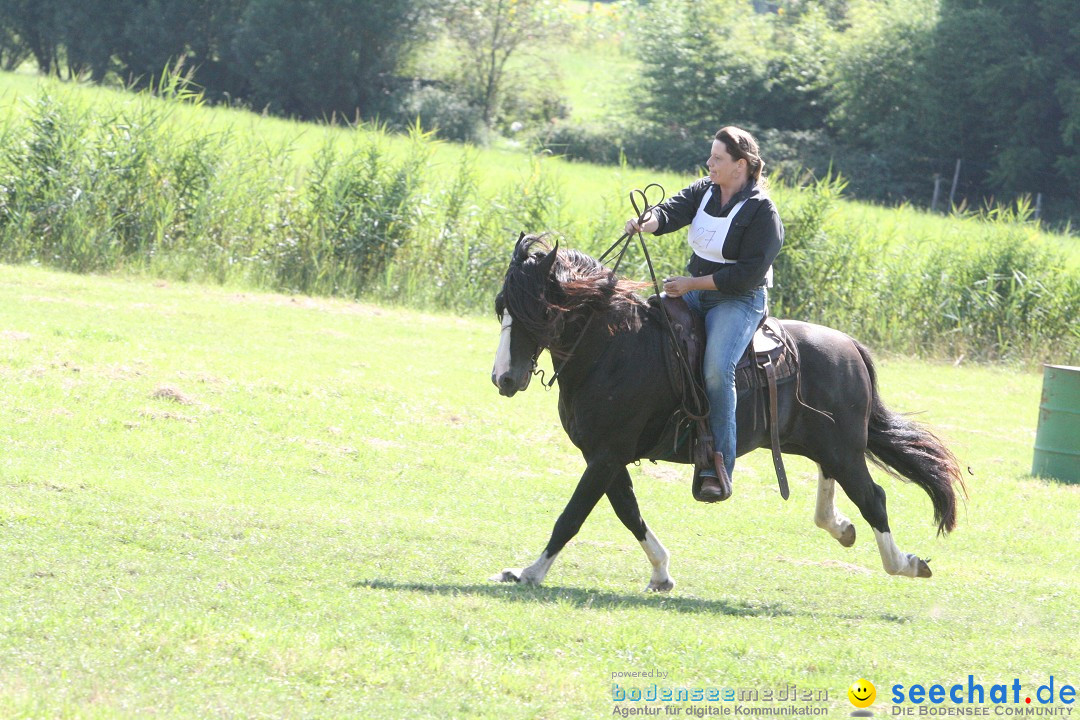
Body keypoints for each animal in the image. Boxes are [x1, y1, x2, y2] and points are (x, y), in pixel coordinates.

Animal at [490, 235, 963, 591]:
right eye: (501, 307)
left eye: (542, 310)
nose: (503, 378)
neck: (614, 348)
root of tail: (851, 347)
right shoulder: (605, 456)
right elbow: (628, 512)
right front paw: (661, 573)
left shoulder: (606, 455)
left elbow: (572, 516)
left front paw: (529, 572)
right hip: (818, 444)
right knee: (834, 490)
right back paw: (842, 527)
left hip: (844, 449)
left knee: (873, 499)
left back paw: (905, 563)